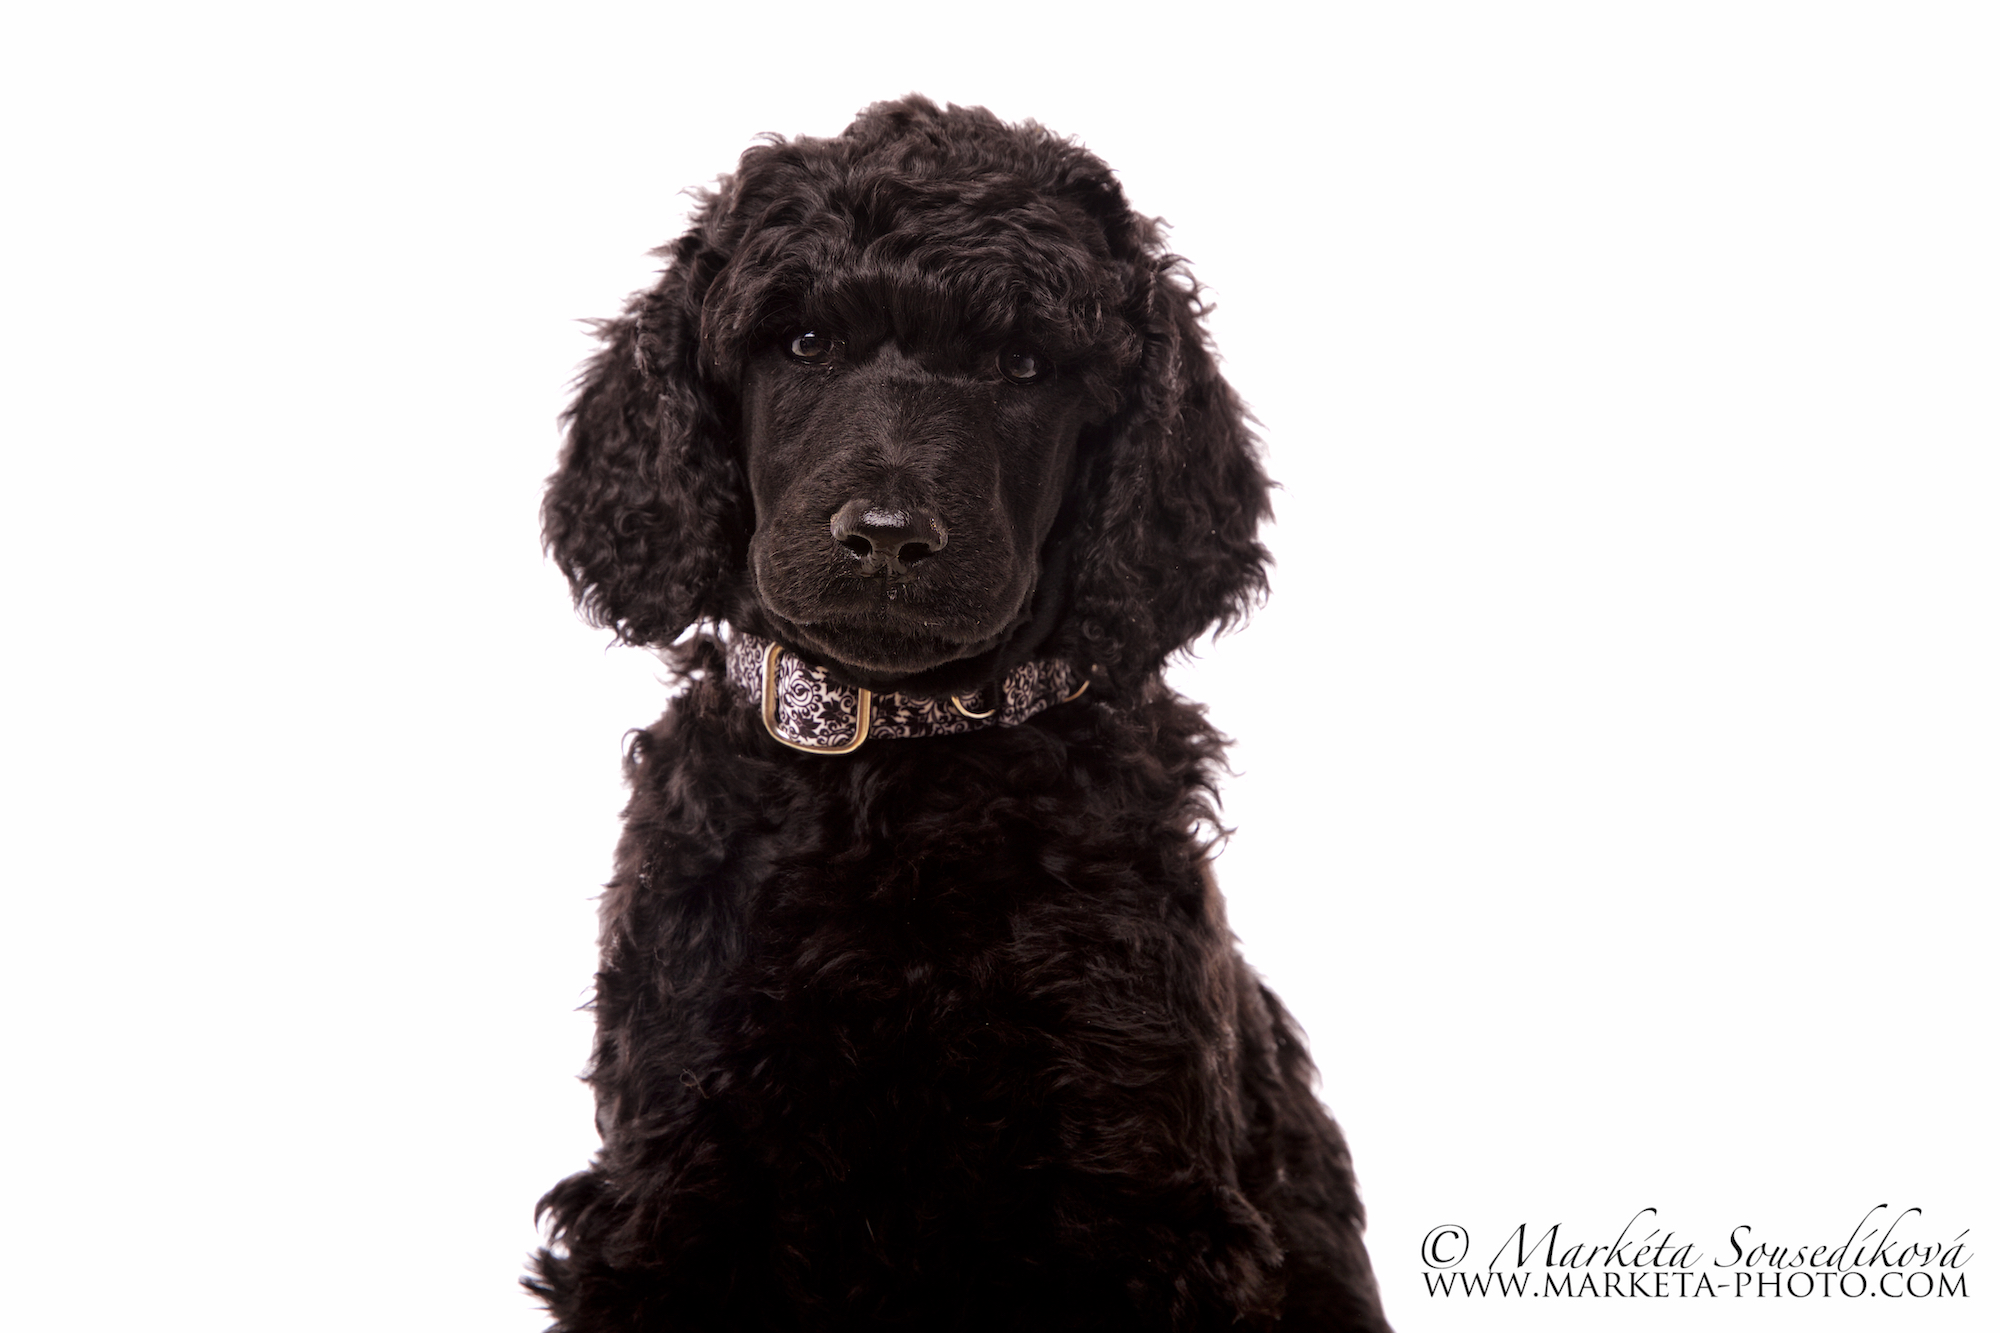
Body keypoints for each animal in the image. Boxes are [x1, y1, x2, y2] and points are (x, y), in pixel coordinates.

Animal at [531, 95, 1389, 1332]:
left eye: (1022, 365)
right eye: (802, 343)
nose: (886, 536)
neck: (897, 762)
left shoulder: (1134, 1182)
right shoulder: (673, 1174)